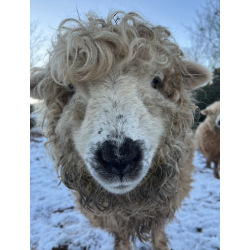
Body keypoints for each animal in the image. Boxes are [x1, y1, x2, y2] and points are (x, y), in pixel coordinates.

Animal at [30, 11, 212, 250]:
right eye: (70, 87)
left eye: (156, 81)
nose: (118, 156)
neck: (129, 201)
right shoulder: (115, 221)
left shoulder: (161, 208)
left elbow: (158, 234)